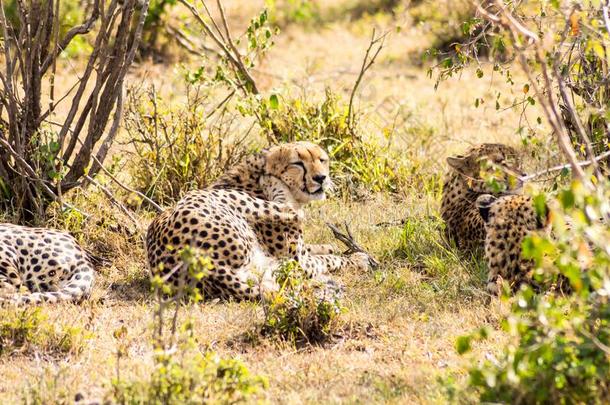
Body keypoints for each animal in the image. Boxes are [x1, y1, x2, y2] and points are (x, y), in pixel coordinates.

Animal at [145, 140, 370, 298]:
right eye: (298, 163)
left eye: (322, 160)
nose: (321, 178)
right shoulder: (298, 259)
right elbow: (328, 259)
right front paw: (357, 259)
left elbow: (318, 250)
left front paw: (329, 247)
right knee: (290, 213)